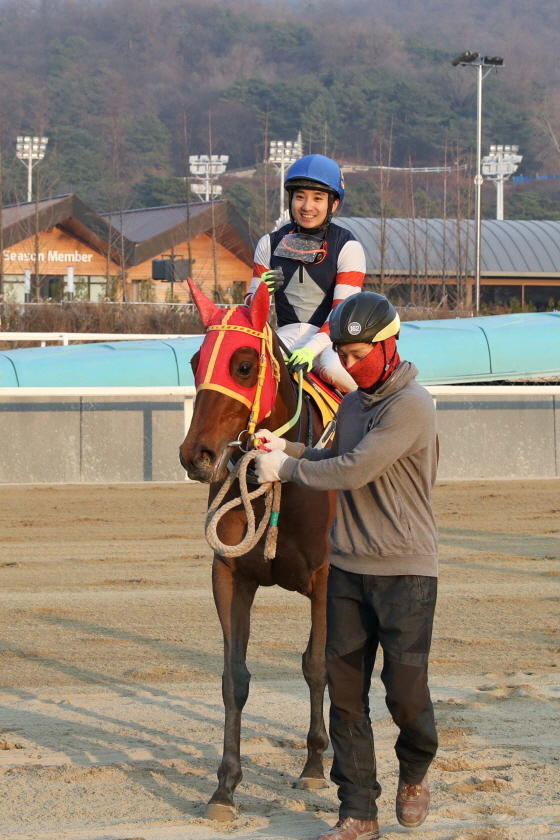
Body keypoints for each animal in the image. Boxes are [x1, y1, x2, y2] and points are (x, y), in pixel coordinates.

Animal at [182, 282, 334, 820]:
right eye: (195, 361)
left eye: (244, 365)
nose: (196, 455)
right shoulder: (229, 574)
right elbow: (235, 679)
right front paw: (225, 787)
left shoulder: (326, 578)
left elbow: (317, 665)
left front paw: (314, 766)